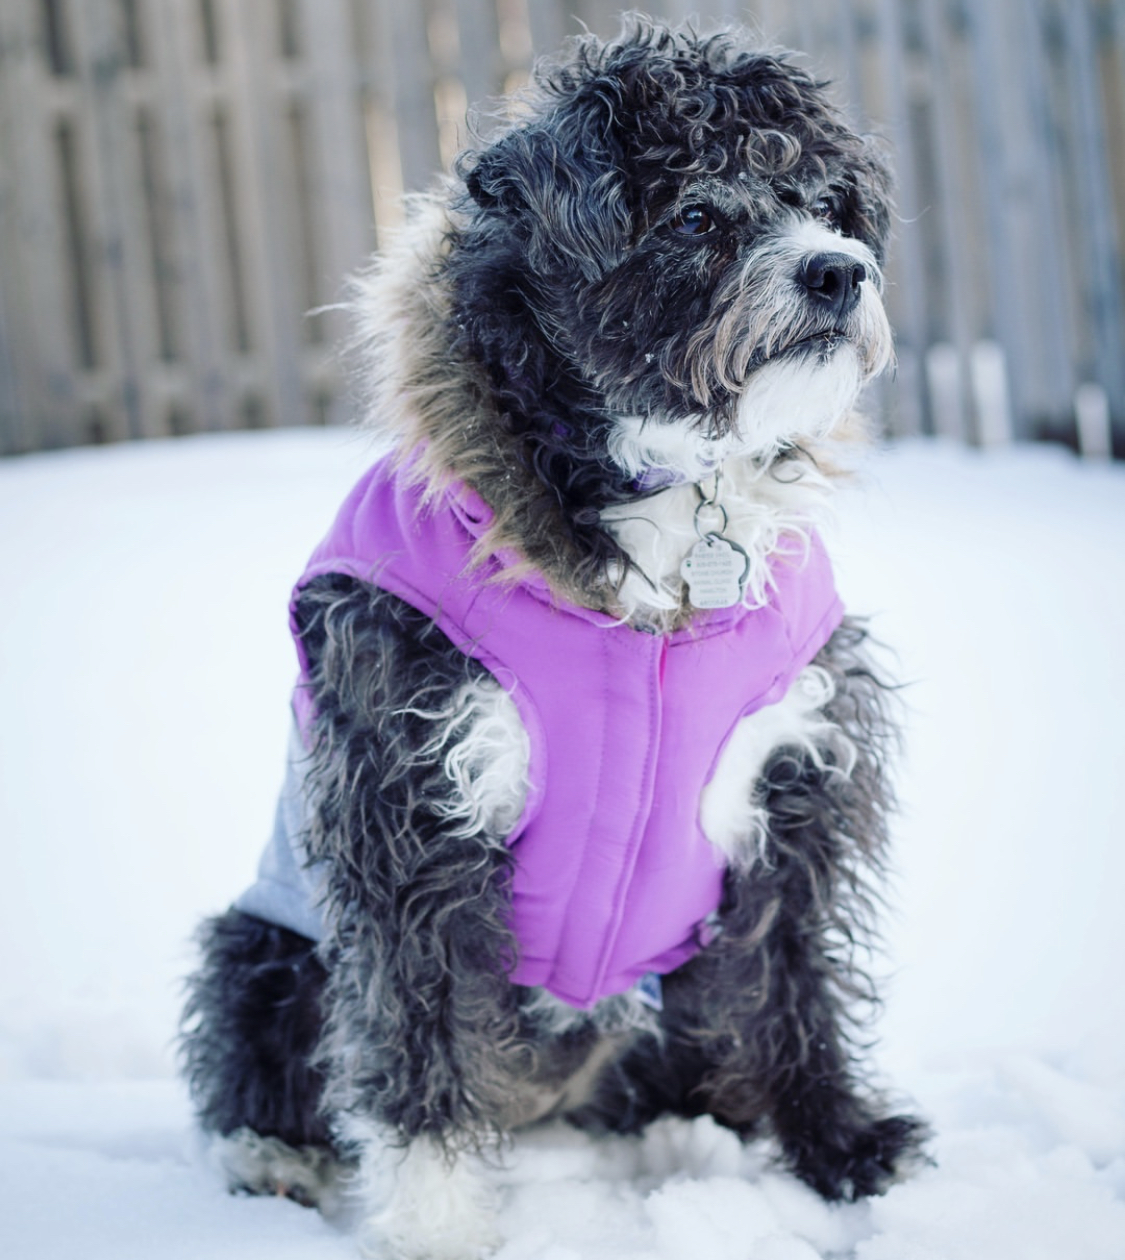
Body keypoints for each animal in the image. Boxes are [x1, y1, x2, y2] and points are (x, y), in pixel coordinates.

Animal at [180, 22, 927, 1260]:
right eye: (695, 215)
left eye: (825, 201)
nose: (840, 270)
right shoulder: (410, 802)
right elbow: (421, 1029)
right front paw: (435, 1224)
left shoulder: (797, 783)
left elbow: (799, 984)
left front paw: (846, 1151)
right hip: (264, 946)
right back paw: (274, 1159)